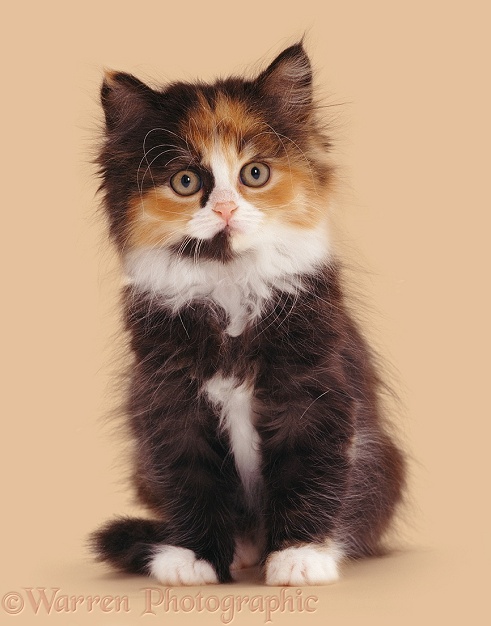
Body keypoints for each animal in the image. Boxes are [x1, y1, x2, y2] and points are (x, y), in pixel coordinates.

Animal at [92, 41, 408, 584]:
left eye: (254, 174)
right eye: (185, 181)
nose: (224, 209)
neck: (230, 285)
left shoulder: (315, 388)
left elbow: (312, 470)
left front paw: (300, 555)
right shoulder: (169, 400)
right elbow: (190, 481)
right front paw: (195, 556)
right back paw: (238, 550)